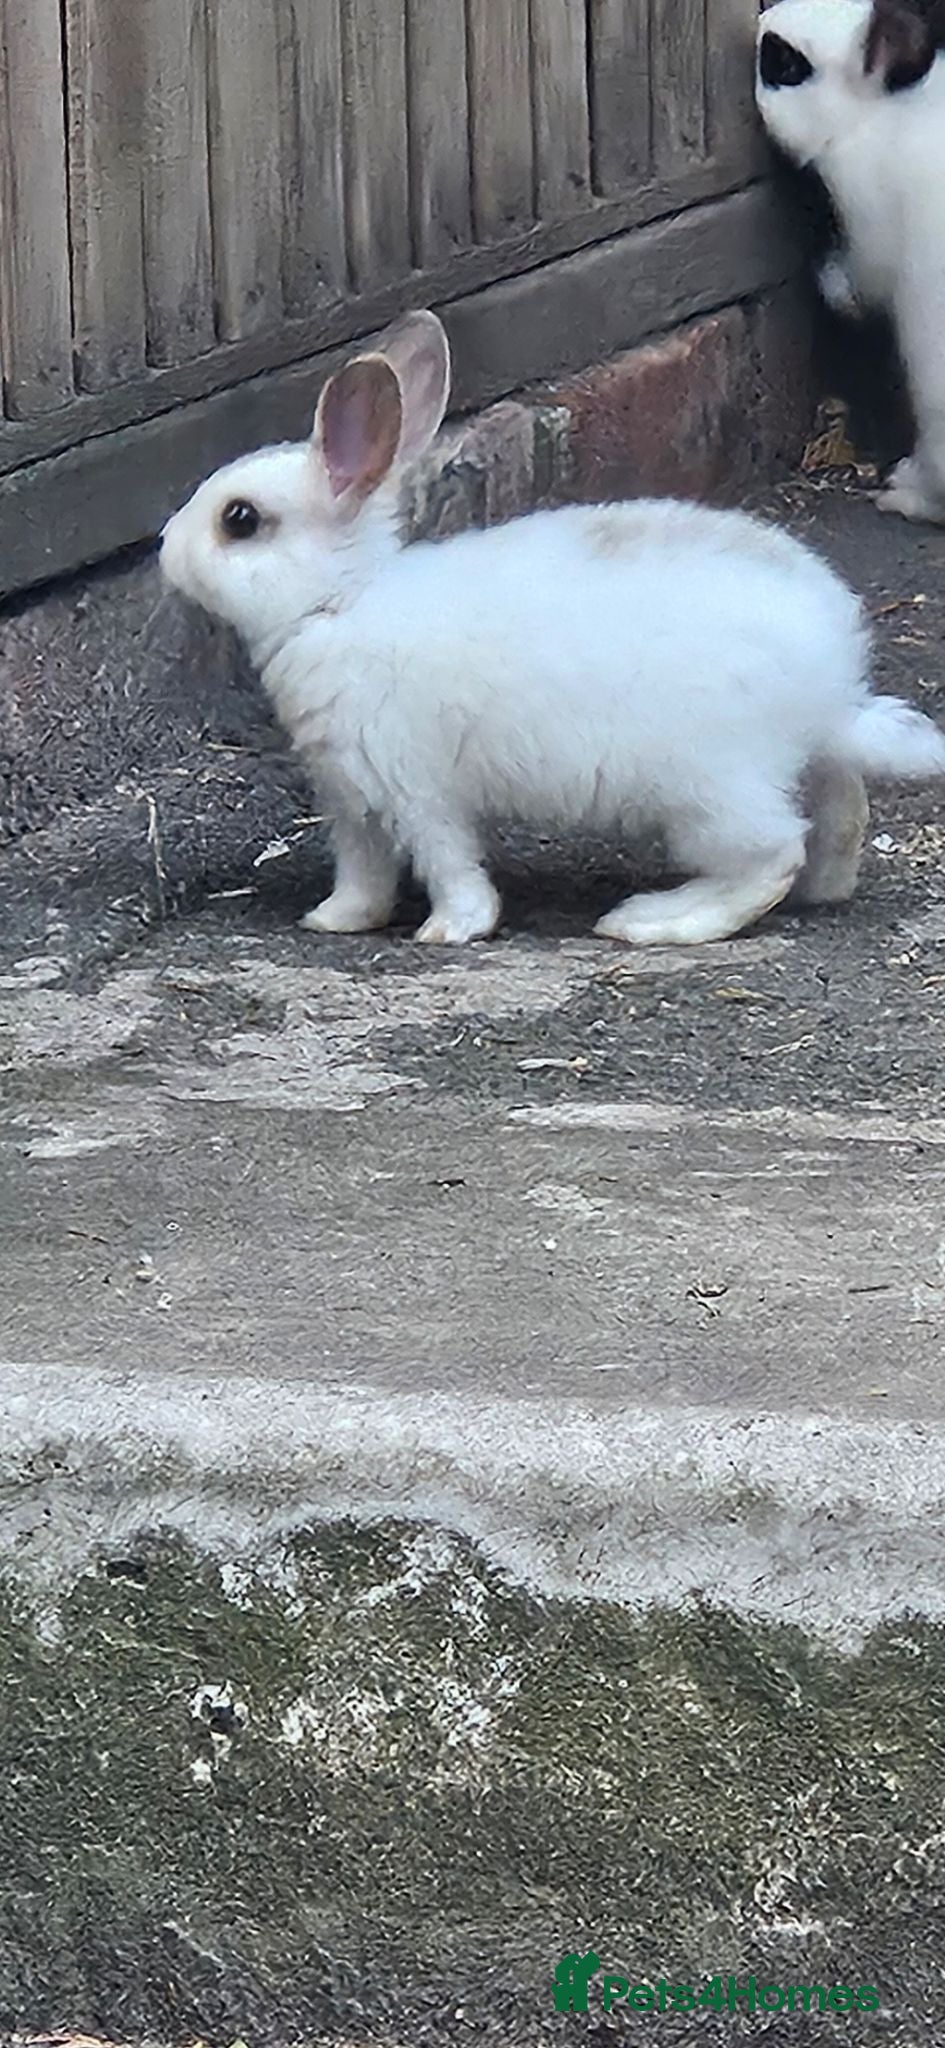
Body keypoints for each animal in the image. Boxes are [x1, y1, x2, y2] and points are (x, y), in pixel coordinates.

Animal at [160, 310, 945, 949]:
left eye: (240, 520)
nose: (165, 547)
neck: (339, 603)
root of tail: (829, 680)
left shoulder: (415, 789)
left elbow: (447, 862)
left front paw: (451, 930)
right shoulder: (353, 803)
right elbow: (363, 874)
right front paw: (334, 920)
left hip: (709, 788)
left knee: (770, 854)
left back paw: (656, 920)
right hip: (796, 767)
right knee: (838, 815)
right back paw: (820, 889)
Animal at [756, 0, 945, 523]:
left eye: (787, 65)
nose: (758, 22)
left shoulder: (869, 217)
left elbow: (864, 276)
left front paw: (832, 286)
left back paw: (902, 493)